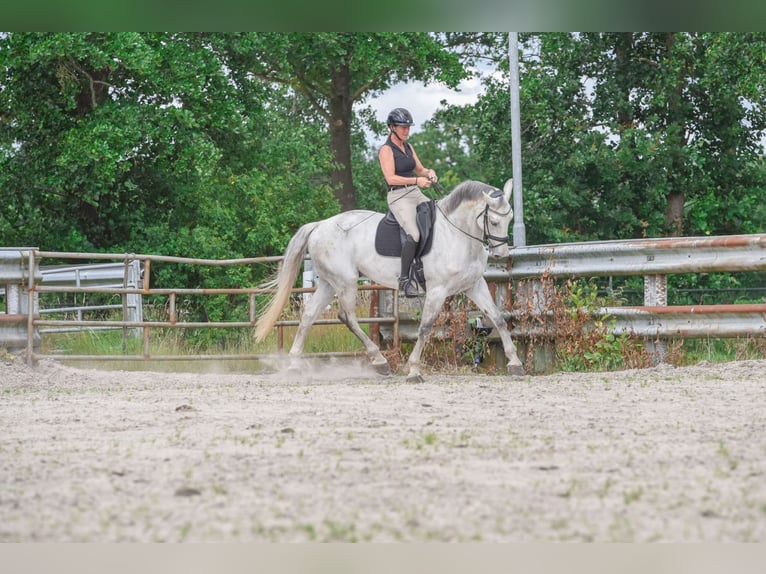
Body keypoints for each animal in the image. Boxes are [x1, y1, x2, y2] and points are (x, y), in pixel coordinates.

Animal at [255, 180, 524, 382]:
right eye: (494, 221)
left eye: (510, 218)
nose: (501, 255)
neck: (457, 233)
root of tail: (320, 225)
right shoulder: (437, 290)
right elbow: (425, 327)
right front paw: (414, 370)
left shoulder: (474, 286)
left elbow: (498, 318)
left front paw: (515, 363)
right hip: (346, 281)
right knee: (347, 317)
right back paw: (379, 361)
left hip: (330, 283)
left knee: (309, 315)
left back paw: (294, 365)